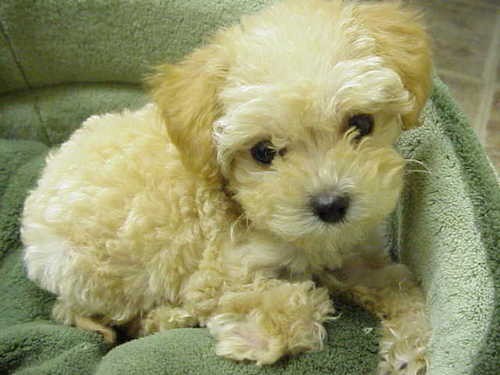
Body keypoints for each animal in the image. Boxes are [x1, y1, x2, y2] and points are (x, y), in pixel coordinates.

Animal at [21, 0, 432, 374]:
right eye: (263, 152)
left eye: (361, 123)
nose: (331, 205)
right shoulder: (221, 271)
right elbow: (278, 306)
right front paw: (257, 336)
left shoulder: (357, 251)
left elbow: (400, 284)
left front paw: (410, 351)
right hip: (93, 272)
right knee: (94, 311)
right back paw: (163, 318)